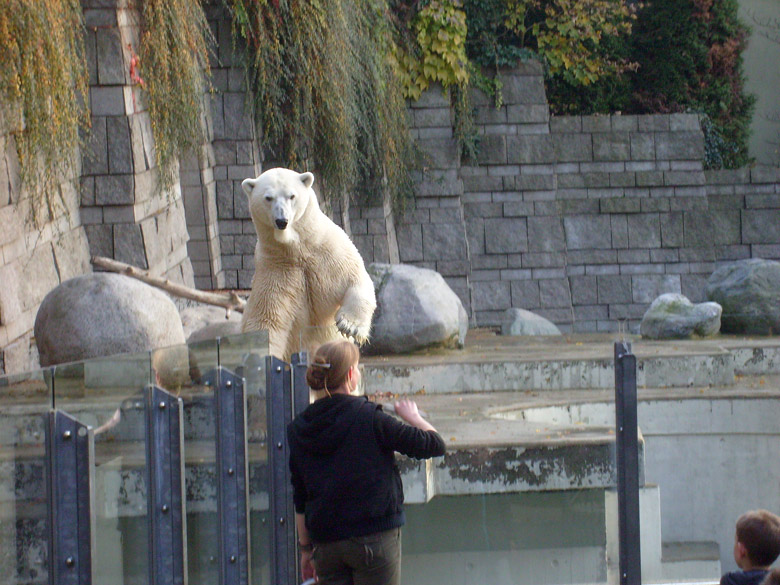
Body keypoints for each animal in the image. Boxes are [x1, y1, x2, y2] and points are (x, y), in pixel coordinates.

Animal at [242, 167, 380, 360]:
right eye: (268, 198)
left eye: (291, 196)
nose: (282, 221)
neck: (297, 250)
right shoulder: (275, 267)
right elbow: (267, 318)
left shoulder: (328, 253)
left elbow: (355, 278)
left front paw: (349, 326)